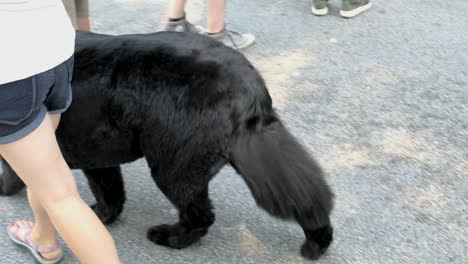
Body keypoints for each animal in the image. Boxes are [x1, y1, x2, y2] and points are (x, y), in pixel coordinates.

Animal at [0, 31, 336, 260]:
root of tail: (248, 86)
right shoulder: (97, 154)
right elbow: (110, 192)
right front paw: (102, 216)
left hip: (173, 166)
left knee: (200, 215)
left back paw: (169, 236)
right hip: (255, 152)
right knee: (303, 196)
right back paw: (318, 241)